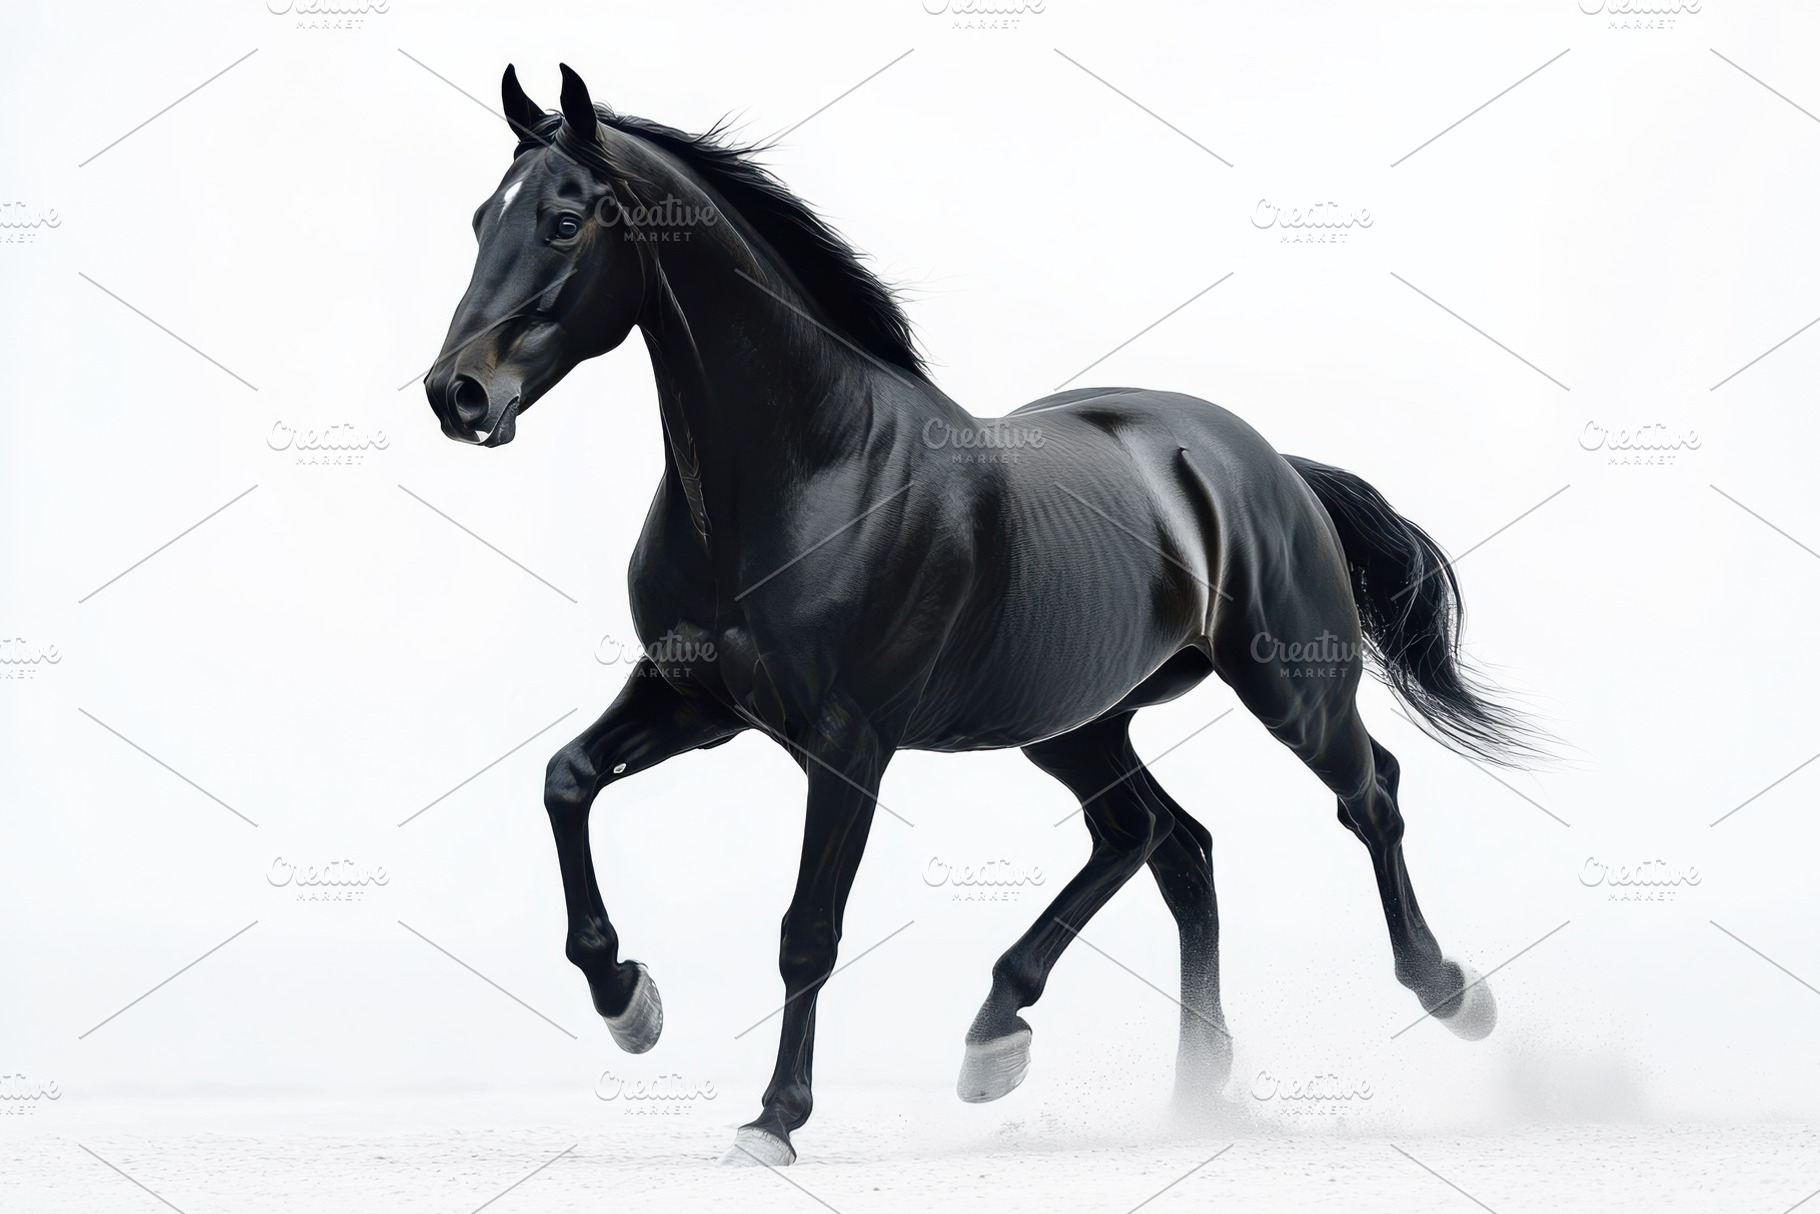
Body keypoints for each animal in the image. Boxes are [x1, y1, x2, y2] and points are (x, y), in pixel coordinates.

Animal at [420, 64, 1537, 1166]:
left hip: (1289, 687)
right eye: (479, 218)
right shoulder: (693, 700)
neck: (810, 470)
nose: (456, 394)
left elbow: (808, 927)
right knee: (1161, 841)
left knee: (1364, 795)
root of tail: (1264, 461)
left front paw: (773, 1118)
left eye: (565, 222)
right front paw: (628, 1003)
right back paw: (1102, 1063)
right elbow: (566, 780)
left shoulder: (845, 743)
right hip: (1076, 724)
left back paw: (1451, 996)